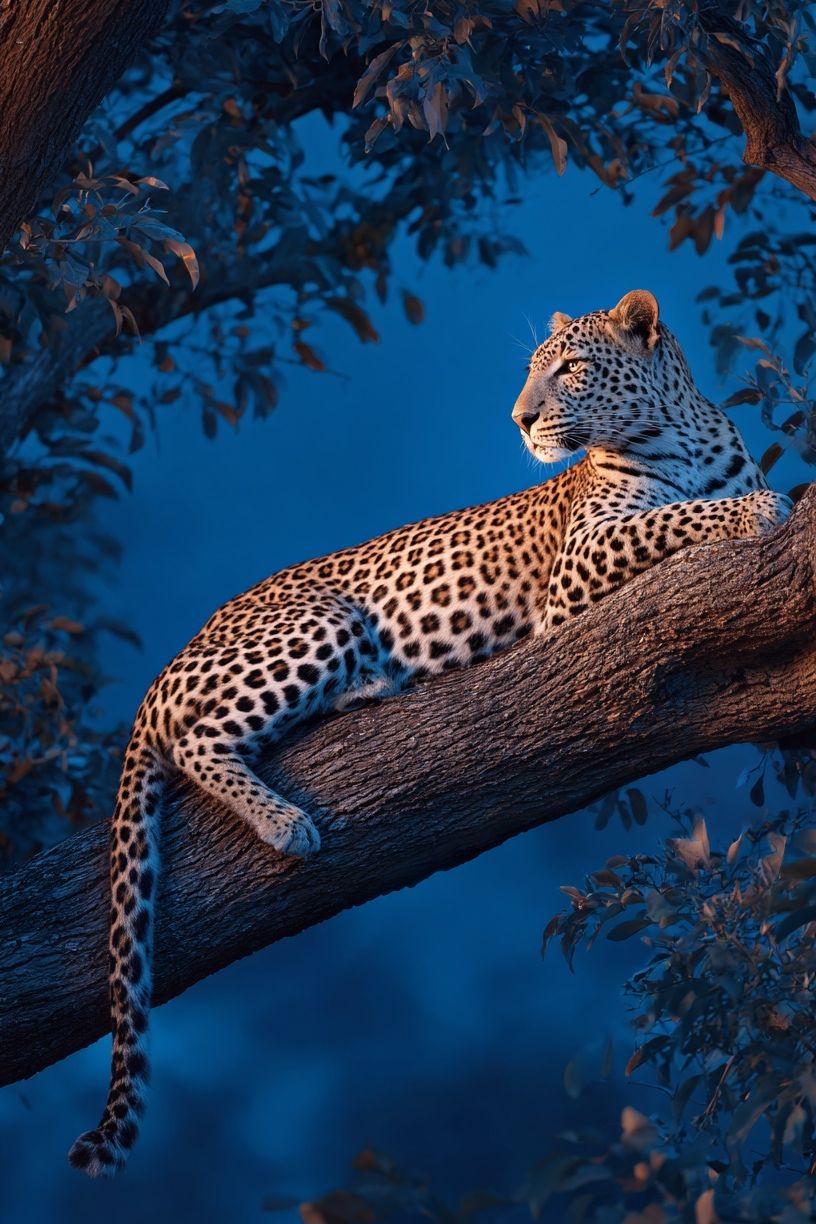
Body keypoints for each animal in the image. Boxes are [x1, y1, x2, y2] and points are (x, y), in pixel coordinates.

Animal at [69, 289, 790, 1177]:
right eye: (535, 371)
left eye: (570, 368)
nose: (520, 419)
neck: (676, 433)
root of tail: (166, 668)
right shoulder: (582, 562)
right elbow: (680, 518)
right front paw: (757, 510)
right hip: (318, 621)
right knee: (200, 740)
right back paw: (287, 821)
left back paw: (369, 690)